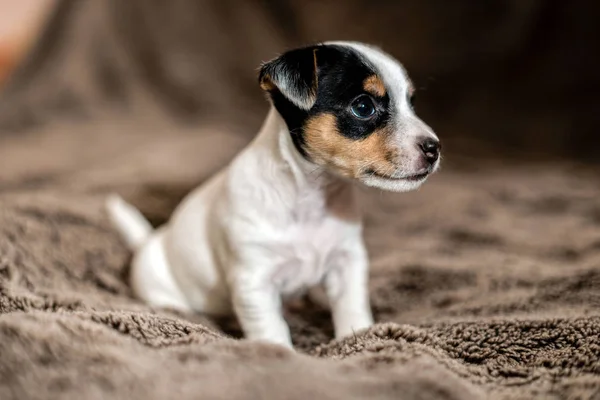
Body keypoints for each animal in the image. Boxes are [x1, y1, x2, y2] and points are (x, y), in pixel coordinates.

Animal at [106, 39, 440, 346]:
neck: (311, 197)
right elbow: (271, 329)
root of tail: (150, 240)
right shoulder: (254, 281)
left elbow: (351, 307)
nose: (434, 147)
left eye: (411, 103)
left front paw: (357, 338)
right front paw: (278, 354)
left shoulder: (348, 262)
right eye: (363, 107)